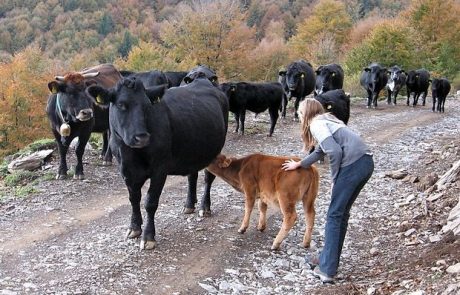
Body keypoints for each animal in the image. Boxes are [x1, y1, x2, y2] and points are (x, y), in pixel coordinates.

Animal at [85, 75, 229, 251]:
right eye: (121, 104)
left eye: (147, 106)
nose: (141, 137)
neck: (132, 153)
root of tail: (204, 80)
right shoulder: (125, 170)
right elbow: (134, 199)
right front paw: (134, 228)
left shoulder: (160, 169)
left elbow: (150, 202)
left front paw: (148, 237)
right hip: (193, 150)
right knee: (192, 176)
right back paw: (189, 205)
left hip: (216, 148)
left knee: (209, 177)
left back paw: (205, 207)